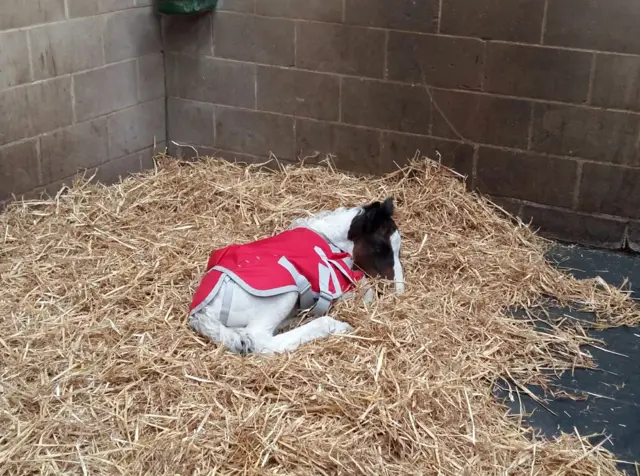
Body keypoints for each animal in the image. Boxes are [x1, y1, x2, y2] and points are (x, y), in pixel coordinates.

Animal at [188, 195, 404, 356]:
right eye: (379, 248)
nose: (398, 290)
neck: (327, 236)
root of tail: (203, 313)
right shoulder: (333, 277)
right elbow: (365, 292)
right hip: (283, 288)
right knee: (260, 340)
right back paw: (334, 325)